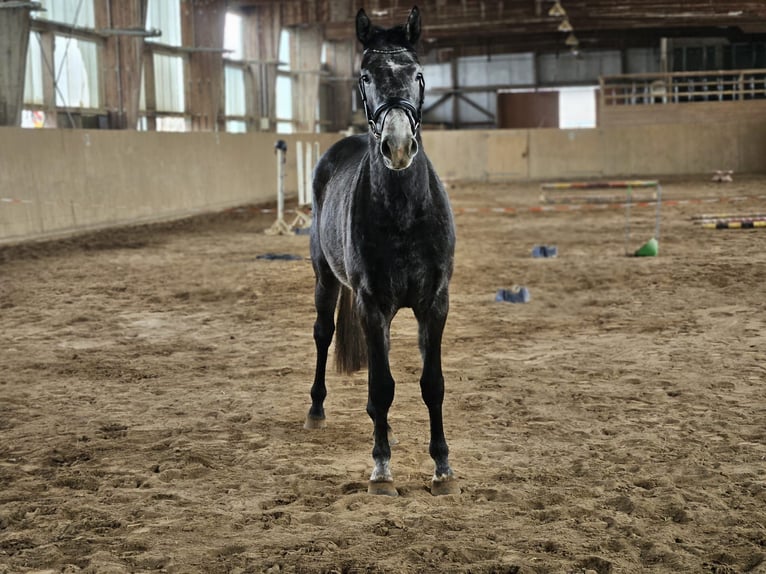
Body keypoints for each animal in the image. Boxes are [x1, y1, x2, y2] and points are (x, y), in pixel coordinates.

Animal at [304, 6, 458, 497]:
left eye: (419, 75)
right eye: (365, 76)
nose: (398, 146)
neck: (404, 213)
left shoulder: (434, 303)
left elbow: (431, 384)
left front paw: (442, 468)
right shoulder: (372, 305)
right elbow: (382, 388)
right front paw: (382, 469)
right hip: (325, 279)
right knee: (324, 334)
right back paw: (316, 411)